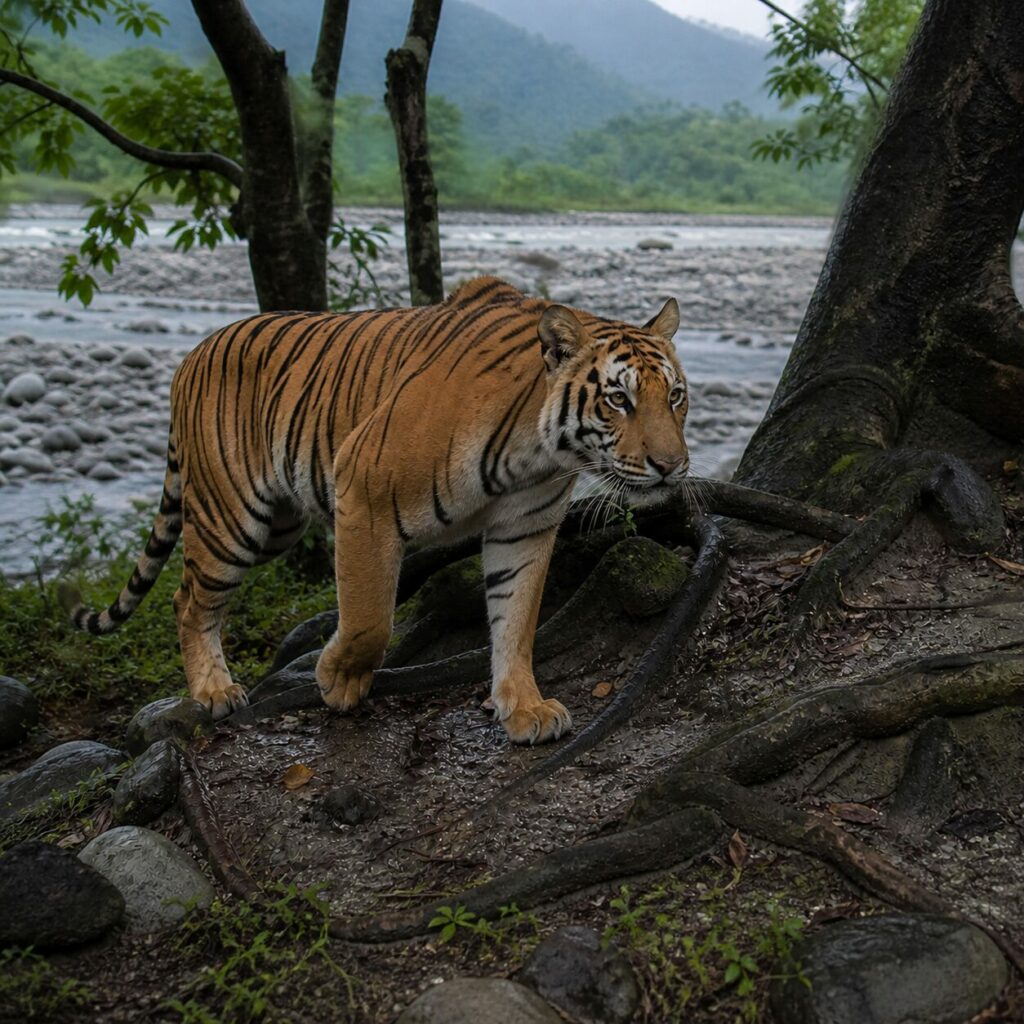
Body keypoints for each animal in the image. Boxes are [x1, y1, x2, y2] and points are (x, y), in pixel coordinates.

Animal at [62, 277, 690, 744]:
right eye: (618, 399)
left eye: (676, 396)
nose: (672, 464)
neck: (537, 450)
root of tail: (191, 354)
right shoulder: (363, 494)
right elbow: (370, 619)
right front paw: (337, 679)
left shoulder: (524, 528)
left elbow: (516, 622)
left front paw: (524, 708)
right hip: (231, 518)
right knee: (189, 599)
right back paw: (214, 691)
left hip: (277, 525)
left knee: (182, 591)